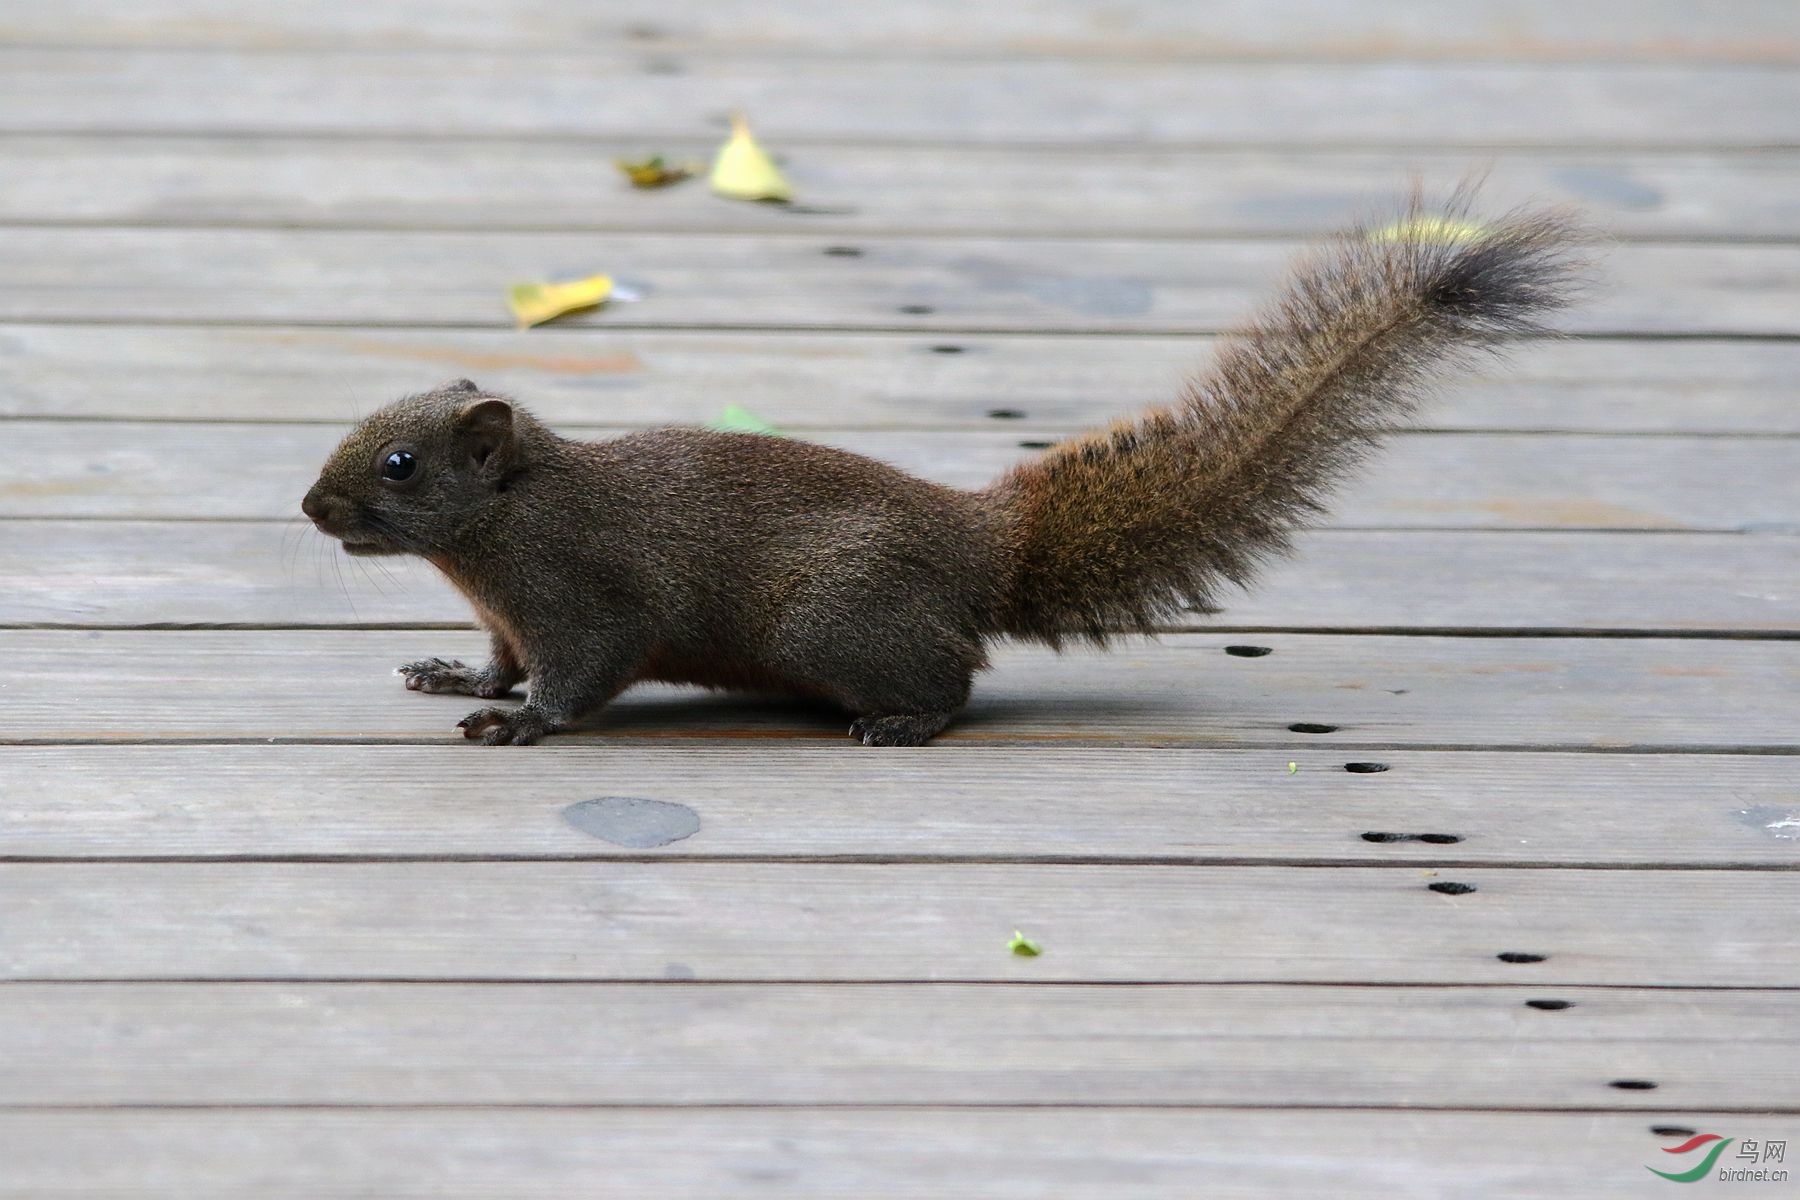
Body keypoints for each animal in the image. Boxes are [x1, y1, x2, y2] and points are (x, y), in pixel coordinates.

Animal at [302, 192, 1584, 744]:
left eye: (401, 464)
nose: (311, 507)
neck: (503, 533)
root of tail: (983, 550)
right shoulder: (510, 613)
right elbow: (501, 658)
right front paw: (459, 681)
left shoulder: (587, 592)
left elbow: (582, 671)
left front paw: (523, 725)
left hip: (834, 620)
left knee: (959, 681)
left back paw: (904, 723)